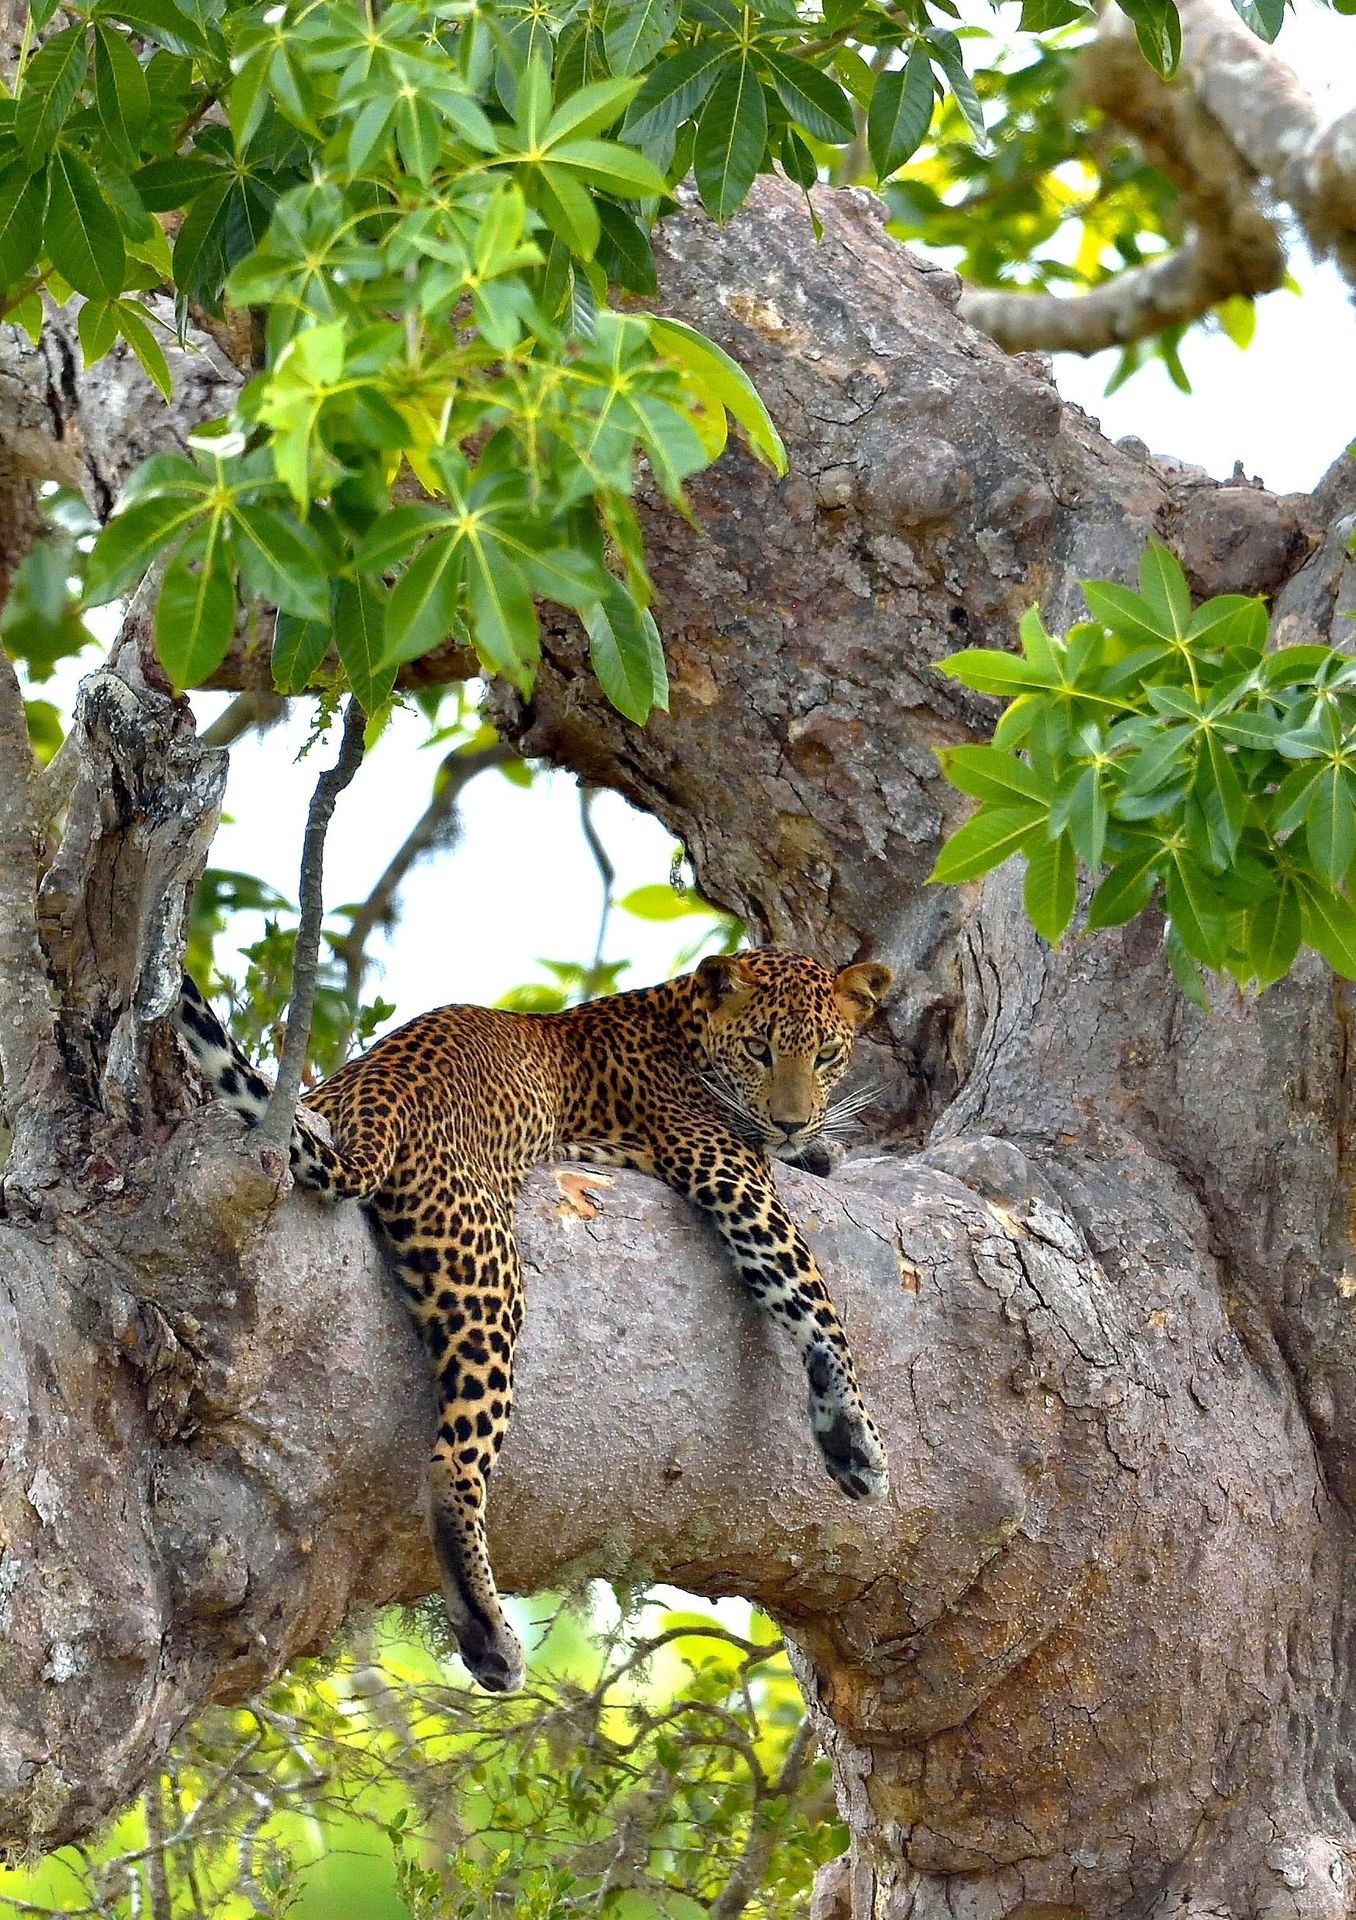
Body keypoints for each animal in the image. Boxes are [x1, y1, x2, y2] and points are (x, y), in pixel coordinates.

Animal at [174, 947, 893, 1693]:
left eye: (827, 1055)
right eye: (759, 1050)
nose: (792, 1122)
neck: (683, 1021)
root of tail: (373, 1091)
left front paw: (821, 1146)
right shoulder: (732, 1178)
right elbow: (815, 1302)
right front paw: (856, 1438)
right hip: (486, 1270)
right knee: (452, 1462)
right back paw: (489, 1635)